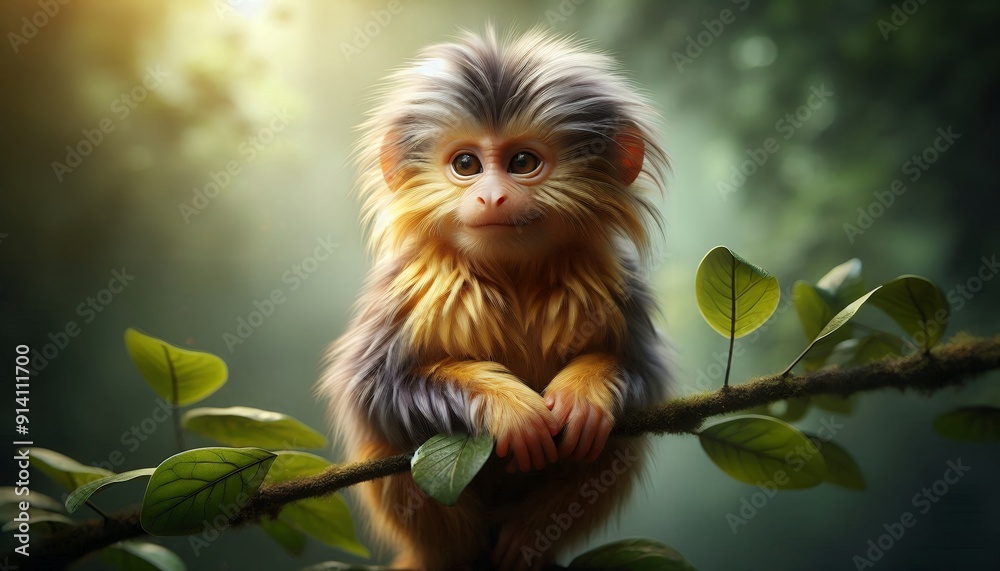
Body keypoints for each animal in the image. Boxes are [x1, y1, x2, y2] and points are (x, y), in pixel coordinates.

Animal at [317, 28, 670, 571]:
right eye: (467, 164)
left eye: (522, 163)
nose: (492, 196)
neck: (512, 275)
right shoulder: (401, 290)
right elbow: (372, 393)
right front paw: (509, 409)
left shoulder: (623, 286)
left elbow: (645, 376)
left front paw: (584, 393)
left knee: (618, 447)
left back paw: (529, 539)